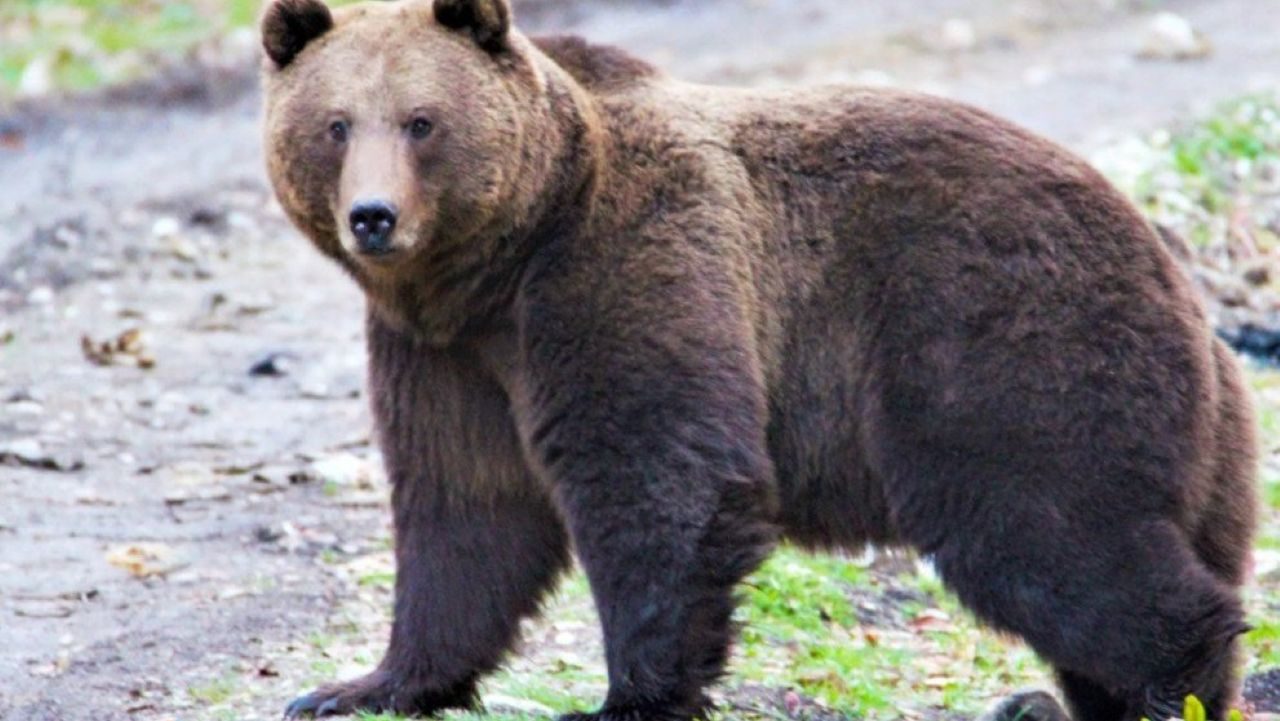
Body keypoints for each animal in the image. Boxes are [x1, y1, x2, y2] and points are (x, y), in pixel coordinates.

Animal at [258, 1, 1260, 720]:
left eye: (422, 121)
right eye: (336, 124)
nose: (374, 217)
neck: (499, 264)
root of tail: (1177, 279)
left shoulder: (624, 265)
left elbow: (662, 480)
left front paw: (628, 697)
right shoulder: (447, 354)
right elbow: (464, 509)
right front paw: (358, 684)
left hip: (1009, 347)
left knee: (1049, 529)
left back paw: (1178, 681)